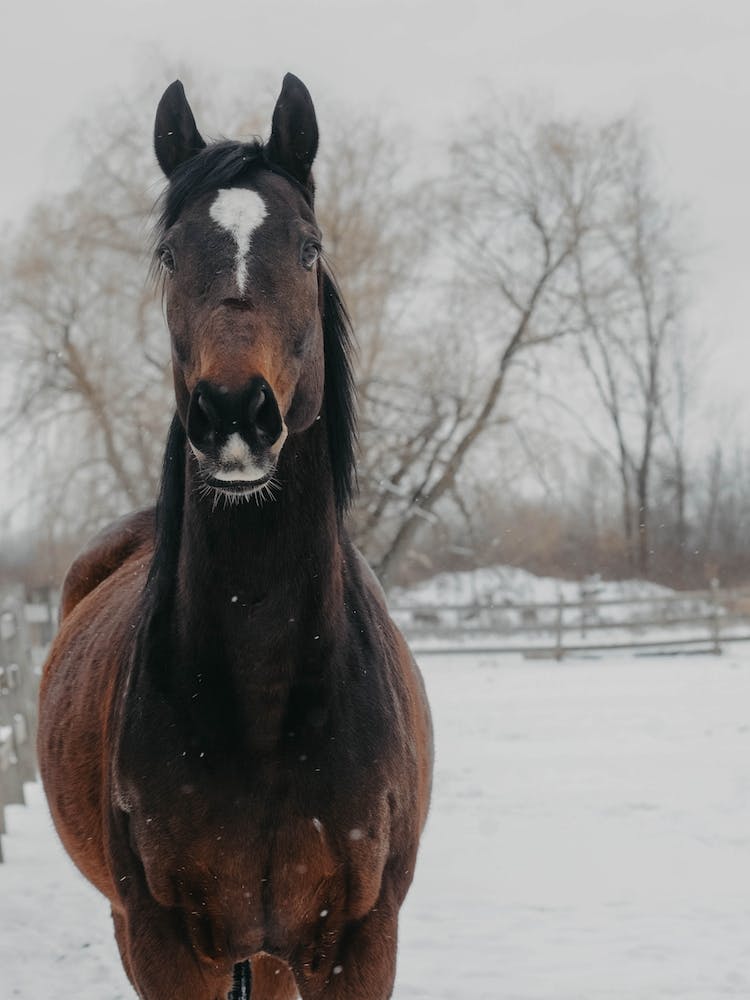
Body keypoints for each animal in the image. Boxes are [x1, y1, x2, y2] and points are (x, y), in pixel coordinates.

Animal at [37, 74, 433, 1000]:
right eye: (171, 254)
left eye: (309, 248)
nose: (231, 416)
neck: (264, 697)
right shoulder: (161, 943)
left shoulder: (360, 942)